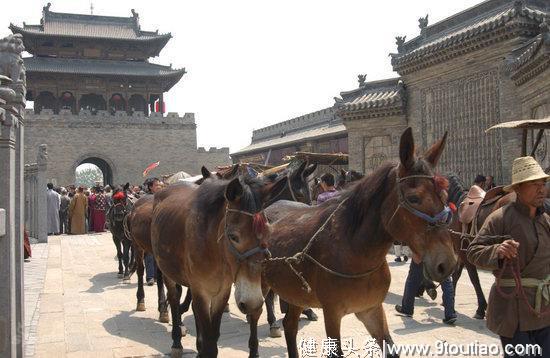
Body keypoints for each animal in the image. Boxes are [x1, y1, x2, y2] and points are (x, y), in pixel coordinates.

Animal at [151, 175, 288, 356]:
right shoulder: (201, 290)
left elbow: (213, 336)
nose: (252, 303)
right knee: (174, 300)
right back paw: (177, 341)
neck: (214, 250)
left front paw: (202, 346)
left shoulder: (222, 292)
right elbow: (209, 340)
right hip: (168, 273)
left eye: (269, 233)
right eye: (233, 236)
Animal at [252, 127, 460, 356]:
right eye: (414, 198)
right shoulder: (332, 312)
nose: (446, 263)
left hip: (296, 292)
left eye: (444, 196)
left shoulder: (371, 309)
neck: (355, 253)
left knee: (290, 325)